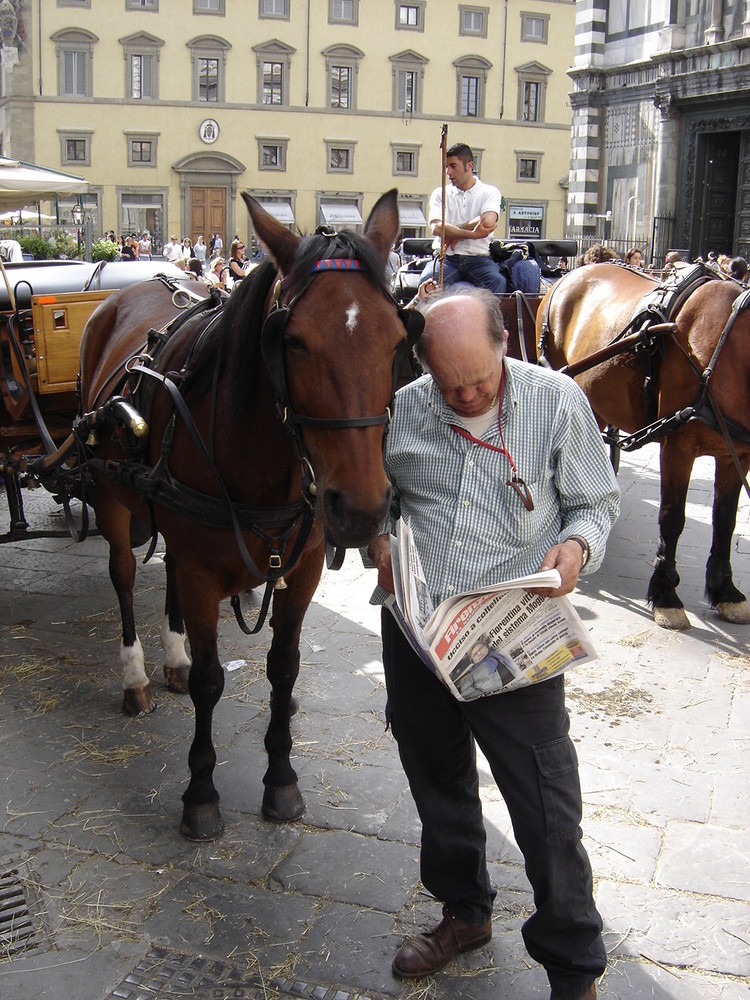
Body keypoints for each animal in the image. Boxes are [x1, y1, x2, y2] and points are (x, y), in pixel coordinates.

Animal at [76, 188, 424, 836]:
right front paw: (200, 791)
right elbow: (213, 680)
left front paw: (281, 779)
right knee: (124, 576)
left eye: (398, 340)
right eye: (293, 340)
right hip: (109, 494)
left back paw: (173, 657)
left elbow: (284, 670)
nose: (363, 506)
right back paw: (136, 674)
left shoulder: (301, 570)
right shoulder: (200, 570)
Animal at [536, 262, 750, 628]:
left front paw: (725, 591)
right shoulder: (679, 446)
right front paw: (666, 594)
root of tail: (568, 275)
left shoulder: (736, 452)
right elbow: (672, 517)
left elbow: (725, 519)